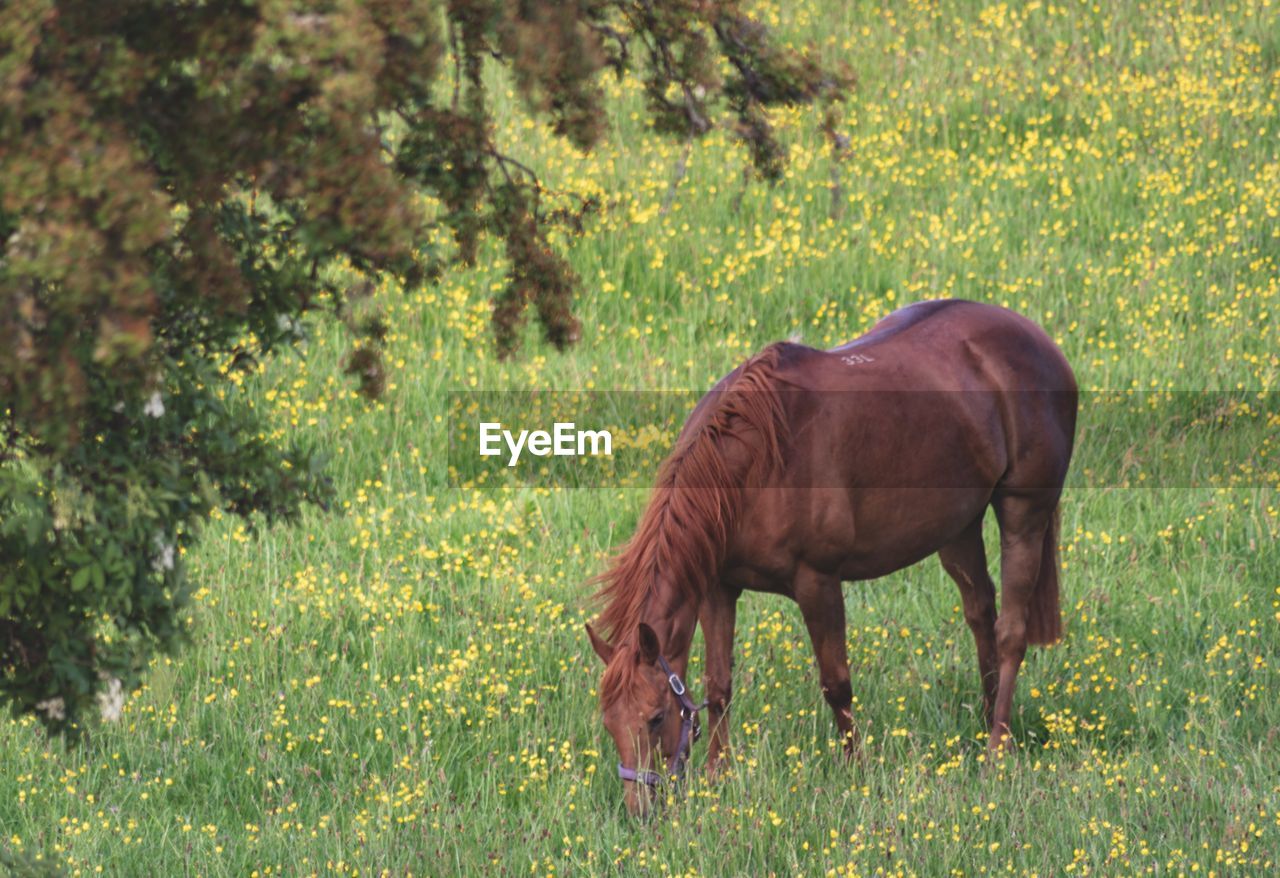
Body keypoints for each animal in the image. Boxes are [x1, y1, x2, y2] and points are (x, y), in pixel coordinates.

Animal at [586, 302, 1075, 819]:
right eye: (609, 722)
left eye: (656, 717)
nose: (640, 810)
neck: (754, 464)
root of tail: (1039, 341)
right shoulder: (719, 588)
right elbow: (719, 686)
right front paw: (717, 778)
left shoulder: (817, 582)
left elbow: (836, 683)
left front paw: (856, 769)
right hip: (958, 527)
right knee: (981, 612)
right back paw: (986, 721)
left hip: (1024, 513)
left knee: (1010, 633)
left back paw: (996, 748)